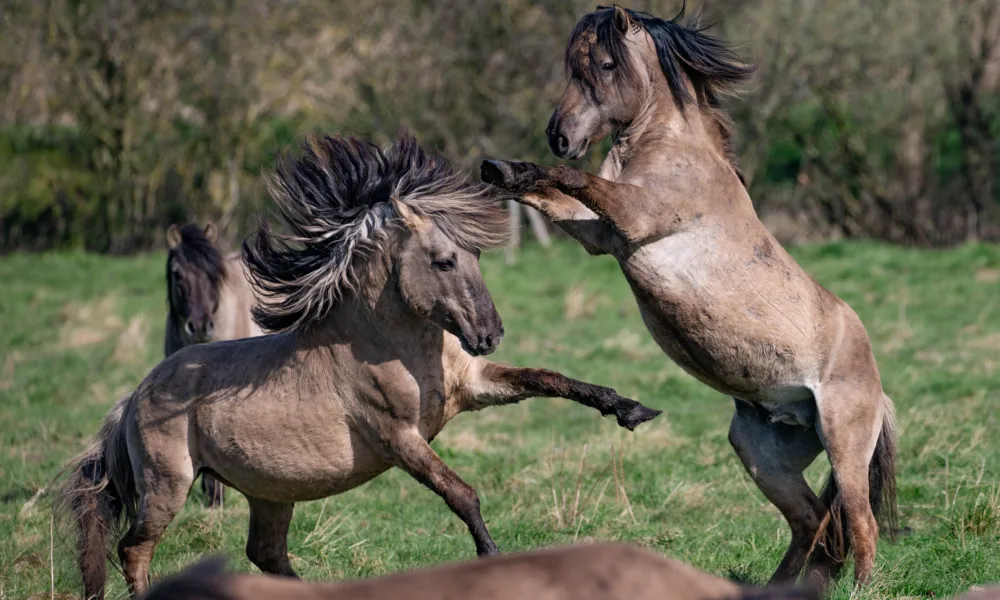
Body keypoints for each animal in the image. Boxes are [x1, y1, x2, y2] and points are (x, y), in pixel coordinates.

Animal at [484, 3, 900, 584]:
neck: (673, 152)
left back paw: (862, 588)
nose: (559, 136)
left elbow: (576, 179)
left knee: (861, 523)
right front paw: (503, 171)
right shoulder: (600, 236)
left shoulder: (634, 216)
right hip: (761, 452)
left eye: (606, 65)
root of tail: (879, 391)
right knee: (811, 521)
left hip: (843, 441)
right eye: (573, 66)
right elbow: (554, 195)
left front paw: (523, 167)